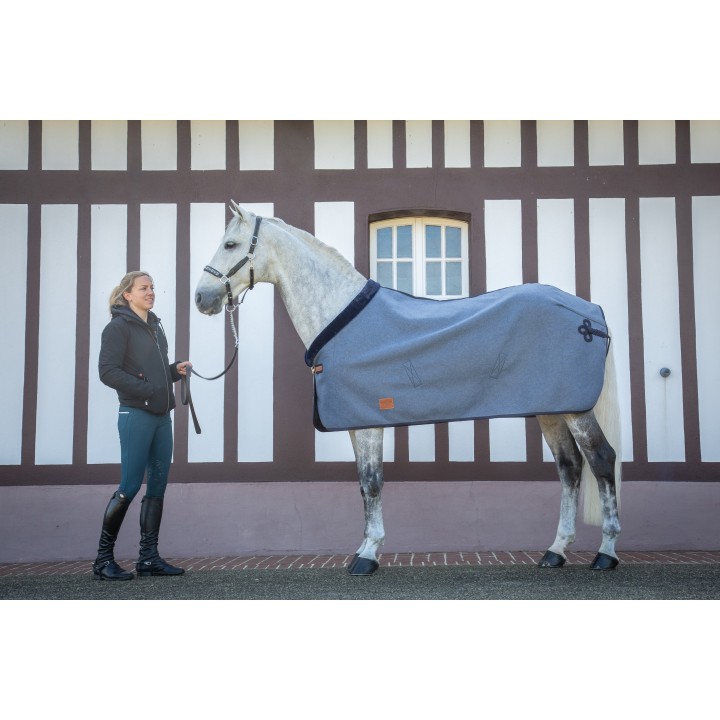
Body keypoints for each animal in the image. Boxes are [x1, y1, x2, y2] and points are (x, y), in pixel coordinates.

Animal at [194, 203, 622, 575]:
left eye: (230, 244)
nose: (201, 298)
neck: (339, 316)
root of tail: (591, 317)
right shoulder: (356, 423)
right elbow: (363, 485)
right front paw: (364, 550)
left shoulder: (368, 421)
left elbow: (372, 483)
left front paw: (367, 555)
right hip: (552, 409)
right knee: (569, 468)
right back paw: (555, 552)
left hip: (576, 409)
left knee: (601, 459)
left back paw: (606, 553)